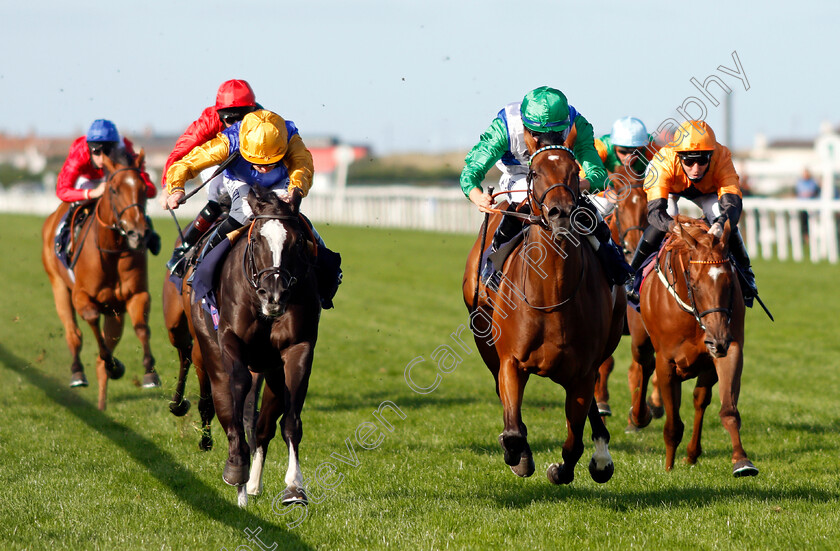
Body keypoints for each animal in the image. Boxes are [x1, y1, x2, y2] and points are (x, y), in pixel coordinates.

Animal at [42, 147, 158, 410]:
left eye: (143, 187)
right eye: (113, 189)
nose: (138, 233)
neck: (111, 251)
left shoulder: (136, 295)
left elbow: (142, 328)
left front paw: (149, 373)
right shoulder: (81, 296)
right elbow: (92, 321)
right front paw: (113, 365)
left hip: (114, 313)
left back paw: (102, 404)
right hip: (58, 287)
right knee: (73, 334)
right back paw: (78, 372)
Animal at [189, 188, 320, 506]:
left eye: (297, 241)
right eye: (257, 239)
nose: (274, 294)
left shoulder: (298, 347)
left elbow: (291, 421)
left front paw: (294, 487)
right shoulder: (229, 339)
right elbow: (237, 391)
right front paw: (237, 467)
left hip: (272, 371)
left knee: (263, 426)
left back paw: (253, 485)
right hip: (208, 347)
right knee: (225, 402)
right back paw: (240, 482)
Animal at [462, 143, 628, 488]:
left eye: (574, 170)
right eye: (535, 172)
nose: (560, 212)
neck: (552, 295)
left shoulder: (583, 372)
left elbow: (573, 442)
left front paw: (563, 468)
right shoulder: (510, 361)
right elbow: (512, 432)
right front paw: (520, 457)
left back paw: (602, 457)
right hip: (483, 335)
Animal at [640, 216, 756, 478]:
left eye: (729, 283)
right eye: (694, 283)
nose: (718, 339)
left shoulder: (729, 348)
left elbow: (728, 410)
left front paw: (742, 461)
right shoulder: (666, 362)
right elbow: (673, 425)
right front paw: (668, 468)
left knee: (699, 400)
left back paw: (693, 453)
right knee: (640, 365)